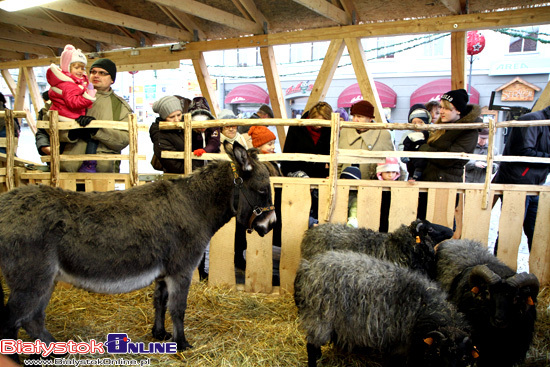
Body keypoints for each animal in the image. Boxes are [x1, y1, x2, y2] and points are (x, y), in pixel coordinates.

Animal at [0, 142, 276, 364]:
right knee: (14, 321)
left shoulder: (164, 272)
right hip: (33, 279)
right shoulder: (181, 270)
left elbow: (160, 302)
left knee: (31, 319)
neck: (195, 206)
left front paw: (160, 334)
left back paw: (53, 351)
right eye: (263, 191)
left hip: (43, 280)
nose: (271, 225)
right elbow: (178, 308)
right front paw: (182, 344)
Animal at [296, 252, 476, 367]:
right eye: (439, 353)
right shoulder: (399, 345)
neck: (424, 307)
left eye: (464, 358)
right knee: (311, 346)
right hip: (319, 317)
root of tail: (309, 266)